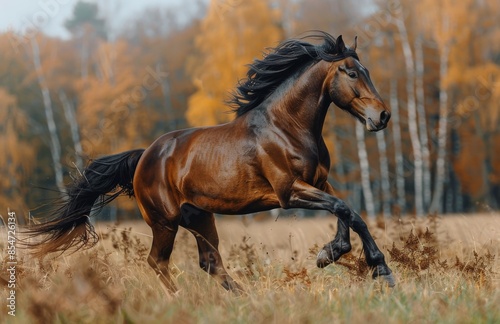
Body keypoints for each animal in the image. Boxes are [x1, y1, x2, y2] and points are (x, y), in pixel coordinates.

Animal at [27, 33, 394, 292]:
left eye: (366, 71)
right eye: (351, 72)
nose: (382, 116)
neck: (286, 126)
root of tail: (144, 156)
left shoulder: (318, 182)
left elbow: (346, 211)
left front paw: (328, 254)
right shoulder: (289, 191)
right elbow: (346, 210)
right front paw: (382, 271)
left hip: (200, 217)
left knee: (210, 263)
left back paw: (246, 297)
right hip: (165, 222)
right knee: (157, 262)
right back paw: (182, 299)